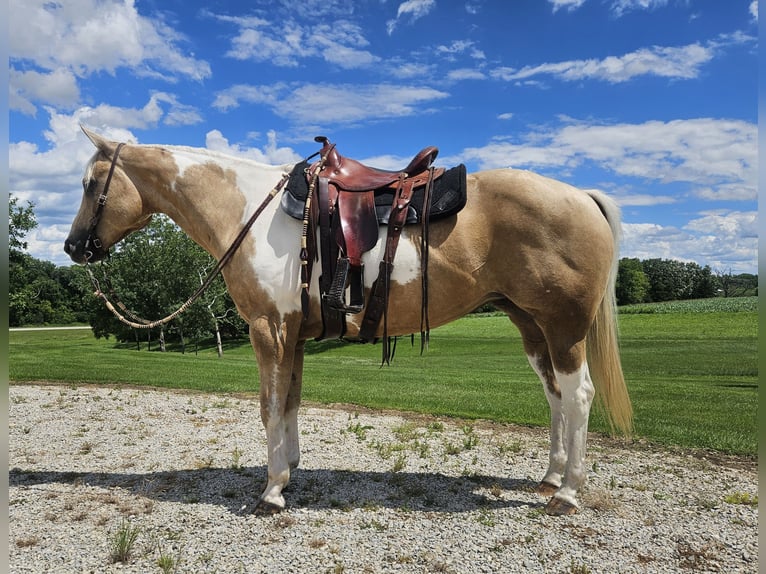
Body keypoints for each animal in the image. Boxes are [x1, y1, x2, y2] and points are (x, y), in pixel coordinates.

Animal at [65, 126, 632, 516]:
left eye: (92, 184)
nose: (73, 247)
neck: (247, 211)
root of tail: (581, 196)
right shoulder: (291, 334)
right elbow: (290, 401)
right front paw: (290, 469)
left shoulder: (268, 329)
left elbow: (268, 406)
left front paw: (271, 491)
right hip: (531, 324)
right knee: (555, 395)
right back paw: (551, 478)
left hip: (563, 327)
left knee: (578, 395)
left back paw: (568, 494)